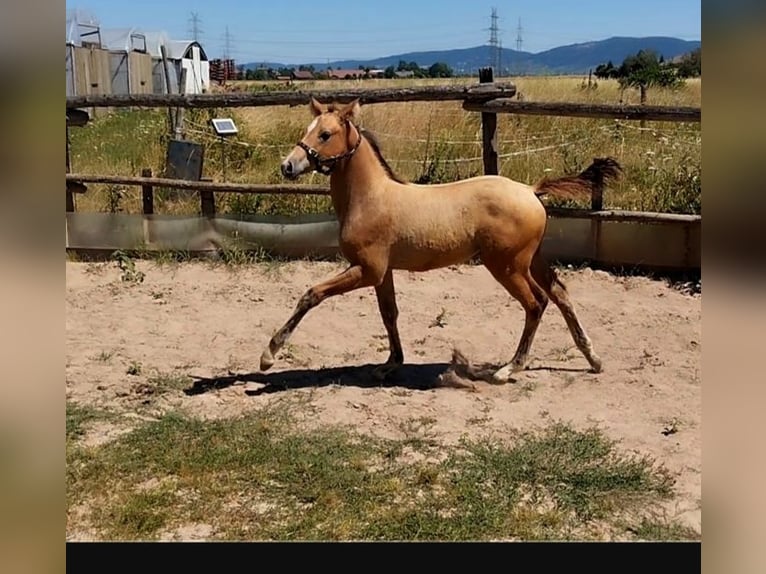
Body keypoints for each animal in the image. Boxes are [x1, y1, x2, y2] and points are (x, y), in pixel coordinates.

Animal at [259, 97, 622, 382]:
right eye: (308, 129)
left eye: (325, 134)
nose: (288, 165)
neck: (370, 198)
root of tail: (532, 191)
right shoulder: (382, 273)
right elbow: (389, 314)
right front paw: (391, 364)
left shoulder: (366, 270)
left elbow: (312, 294)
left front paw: (269, 354)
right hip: (532, 260)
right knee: (560, 294)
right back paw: (594, 359)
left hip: (507, 266)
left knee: (536, 303)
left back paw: (509, 369)